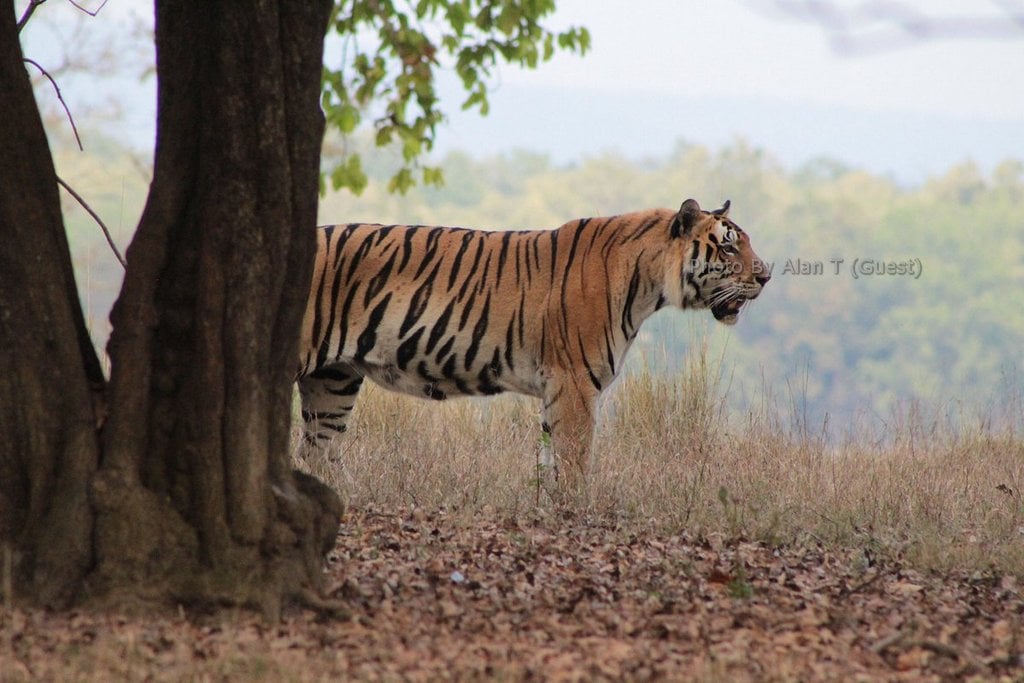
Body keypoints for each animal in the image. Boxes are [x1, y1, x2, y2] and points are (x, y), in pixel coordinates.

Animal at [297, 198, 769, 487]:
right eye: (729, 249)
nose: (765, 276)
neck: (648, 284)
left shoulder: (559, 389)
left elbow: (551, 463)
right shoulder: (576, 383)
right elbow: (576, 462)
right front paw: (578, 517)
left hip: (333, 381)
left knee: (318, 451)